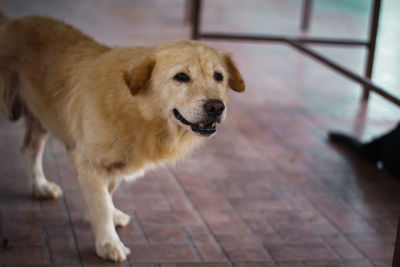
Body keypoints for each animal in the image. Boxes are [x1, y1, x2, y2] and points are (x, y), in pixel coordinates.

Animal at [0, 9, 244, 262]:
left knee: (30, 149)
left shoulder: (116, 164)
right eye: (181, 77)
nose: (217, 107)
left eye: (218, 76)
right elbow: (100, 204)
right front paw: (108, 242)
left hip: (40, 118)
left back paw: (39, 186)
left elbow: (107, 194)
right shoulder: (90, 163)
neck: (138, 111)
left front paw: (108, 215)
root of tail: (10, 21)